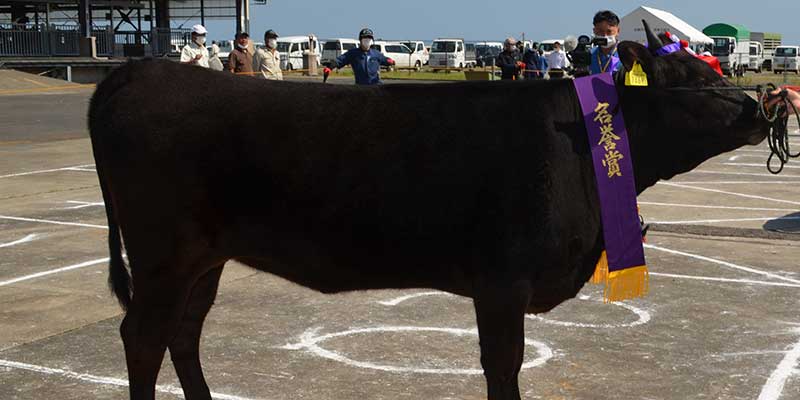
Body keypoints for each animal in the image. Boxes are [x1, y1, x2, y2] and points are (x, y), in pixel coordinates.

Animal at [87, 32, 768, 400]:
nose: (759, 110)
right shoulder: (502, 280)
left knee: (183, 333)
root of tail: (138, 71)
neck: (580, 143)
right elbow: (503, 365)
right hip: (165, 255)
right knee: (143, 337)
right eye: (691, 77)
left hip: (206, 258)